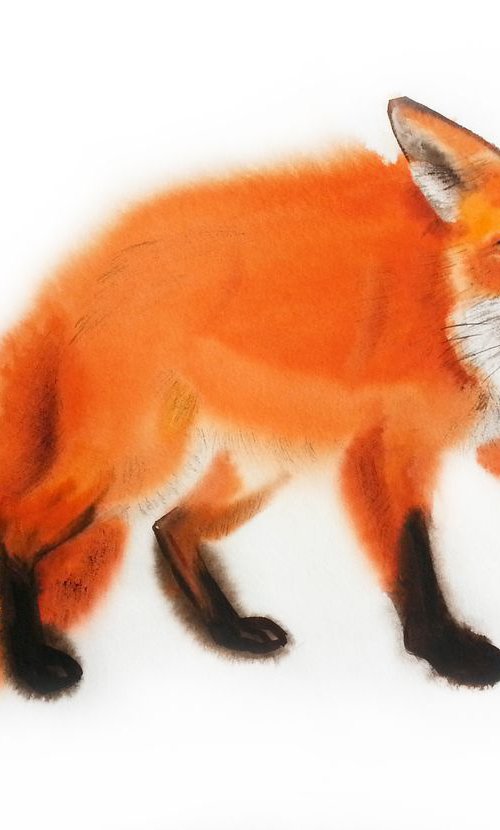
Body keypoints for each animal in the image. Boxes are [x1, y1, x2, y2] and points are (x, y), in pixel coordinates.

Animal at [2, 96, 500, 697]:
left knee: (171, 526)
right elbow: (414, 561)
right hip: (135, 464)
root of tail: (98, 264)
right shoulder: (387, 450)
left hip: (255, 470)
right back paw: (33, 664)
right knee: (17, 530)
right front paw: (446, 655)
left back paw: (229, 631)